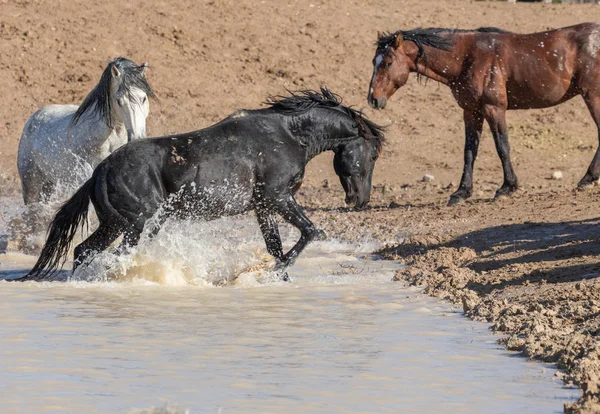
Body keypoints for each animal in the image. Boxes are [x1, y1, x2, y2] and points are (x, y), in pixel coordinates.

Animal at [18, 56, 156, 212]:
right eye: (119, 101)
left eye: (144, 98)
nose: (137, 138)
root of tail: (33, 119)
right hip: (31, 184)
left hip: (49, 184)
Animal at [19, 87, 384, 282]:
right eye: (373, 154)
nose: (360, 200)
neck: (289, 135)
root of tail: (100, 171)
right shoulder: (279, 198)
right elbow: (309, 232)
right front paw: (278, 271)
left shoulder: (263, 207)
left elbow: (276, 246)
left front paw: (277, 277)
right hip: (139, 224)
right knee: (115, 255)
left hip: (114, 224)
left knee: (83, 250)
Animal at [368, 22, 600, 204]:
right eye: (374, 62)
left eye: (388, 62)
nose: (373, 99)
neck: (466, 57)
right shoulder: (471, 111)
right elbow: (469, 151)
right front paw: (461, 192)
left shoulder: (493, 108)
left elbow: (502, 147)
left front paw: (507, 188)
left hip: (593, 96)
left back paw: (588, 178)